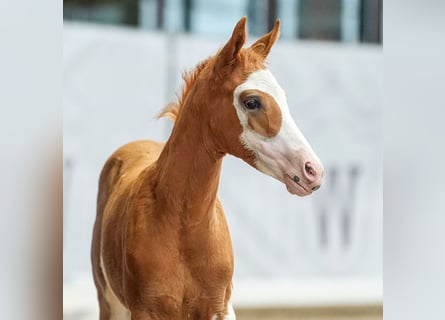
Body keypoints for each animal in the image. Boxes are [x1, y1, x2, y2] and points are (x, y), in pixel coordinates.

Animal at [92, 17, 324, 320]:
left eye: (283, 98)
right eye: (252, 101)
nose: (313, 170)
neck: (184, 225)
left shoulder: (219, 307)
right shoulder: (144, 311)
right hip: (109, 303)